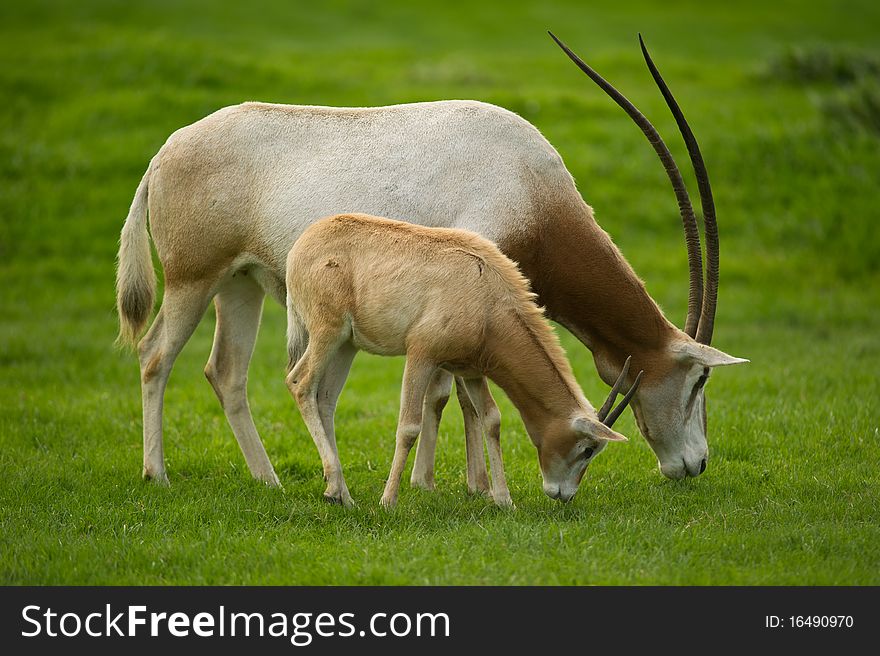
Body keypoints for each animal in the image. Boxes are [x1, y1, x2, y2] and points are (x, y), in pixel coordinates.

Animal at [286, 214, 636, 508]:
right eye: (588, 448)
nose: (563, 494)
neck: (487, 297)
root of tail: (303, 243)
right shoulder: (421, 355)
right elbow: (409, 426)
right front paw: (388, 501)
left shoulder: (471, 371)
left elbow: (492, 419)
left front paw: (504, 500)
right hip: (328, 332)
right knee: (300, 384)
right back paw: (341, 488)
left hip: (347, 345)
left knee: (324, 398)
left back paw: (339, 493)